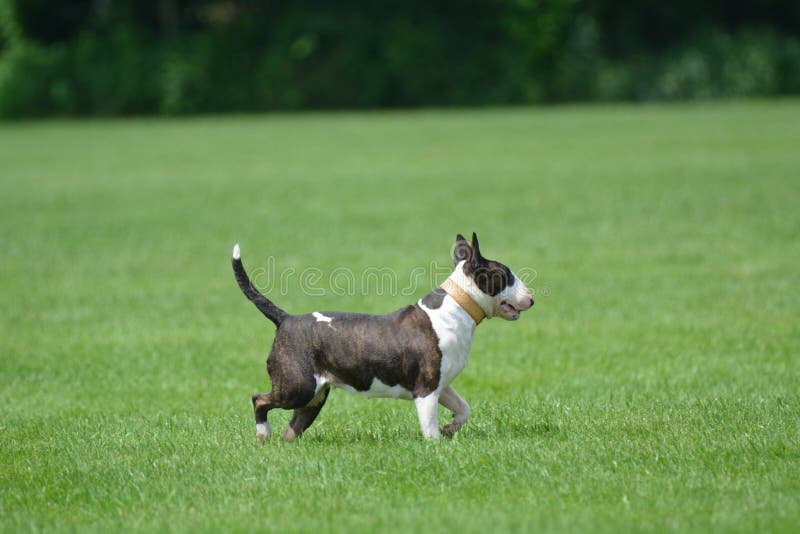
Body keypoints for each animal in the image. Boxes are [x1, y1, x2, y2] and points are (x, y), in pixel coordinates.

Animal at [231, 232, 532, 442]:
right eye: (506, 275)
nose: (531, 298)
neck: (456, 307)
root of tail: (286, 319)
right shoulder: (426, 388)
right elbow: (429, 426)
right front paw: (437, 444)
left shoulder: (441, 383)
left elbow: (464, 408)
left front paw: (450, 427)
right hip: (298, 386)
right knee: (258, 399)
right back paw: (263, 434)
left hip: (313, 396)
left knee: (293, 427)